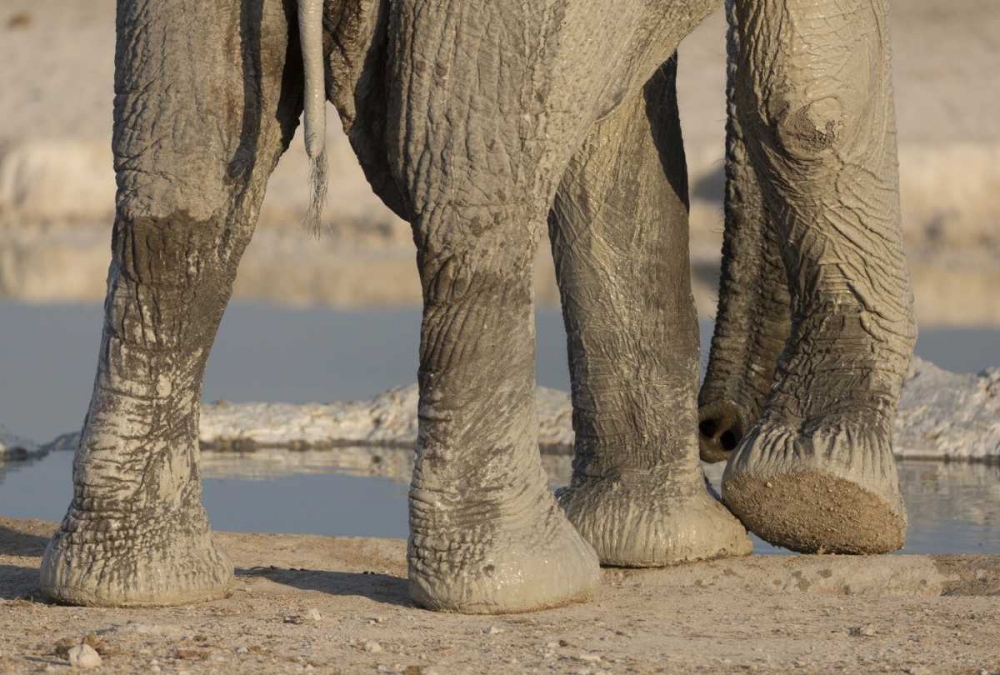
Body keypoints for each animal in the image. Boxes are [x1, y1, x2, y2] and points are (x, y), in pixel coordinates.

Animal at [39, 0, 916, 614]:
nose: (718, 430)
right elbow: (807, 98)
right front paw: (828, 503)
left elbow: (617, 135)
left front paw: (676, 545)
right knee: (467, 194)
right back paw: (528, 585)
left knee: (178, 182)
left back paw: (130, 586)